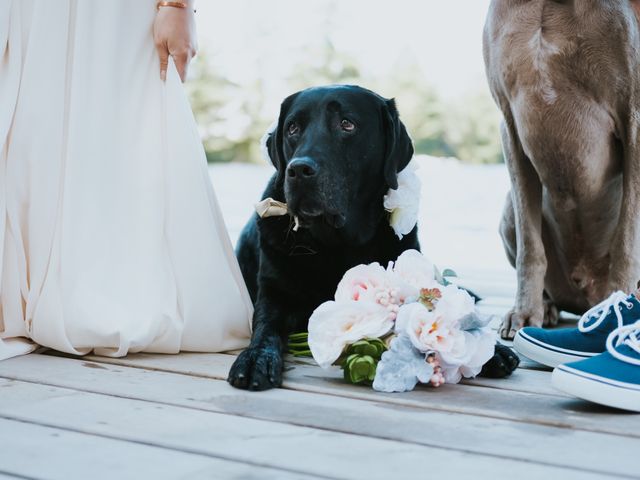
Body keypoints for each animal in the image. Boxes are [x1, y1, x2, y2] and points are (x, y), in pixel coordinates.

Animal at [228, 85, 516, 390]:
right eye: (293, 128)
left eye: (347, 124)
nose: (298, 170)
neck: (336, 243)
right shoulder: (274, 294)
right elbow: (264, 327)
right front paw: (255, 358)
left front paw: (494, 349)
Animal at [482, 0, 640, 338]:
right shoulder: (510, 122)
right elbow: (530, 246)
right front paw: (525, 311)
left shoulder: (634, 118)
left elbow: (626, 241)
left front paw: (620, 309)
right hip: (508, 210)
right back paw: (547, 306)